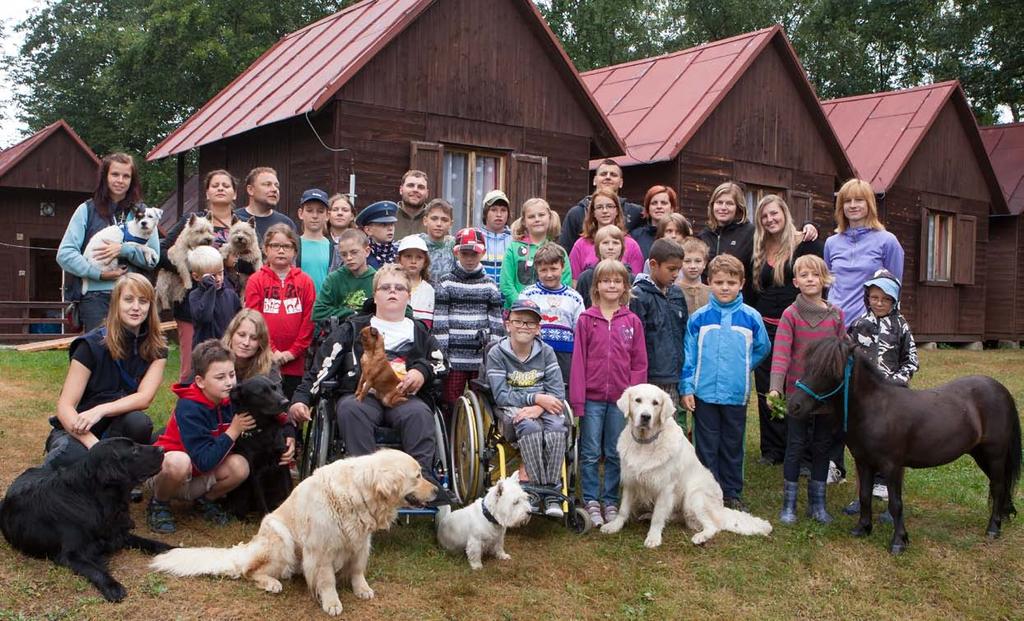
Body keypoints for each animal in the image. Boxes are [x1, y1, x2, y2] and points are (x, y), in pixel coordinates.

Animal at [0, 438, 172, 602]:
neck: (92, 498)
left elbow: (148, 542)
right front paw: (112, 586)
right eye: (134, 450)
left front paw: (170, 549)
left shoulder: (116, 533)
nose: (162, 448)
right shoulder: (69, 555)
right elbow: (94, 569)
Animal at [150, 452, 436, 618]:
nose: (437, 492)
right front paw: (331, 602)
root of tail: (246, 550)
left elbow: (357, 569)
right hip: (282, 541)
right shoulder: (321, 550)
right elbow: (327, 580)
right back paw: (271, 583)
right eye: (418, 476)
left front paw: (362, 589)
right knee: (249, 571)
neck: (358, 492)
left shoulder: (360, 542)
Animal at [221, 375, 292, 520]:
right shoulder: (255, 473)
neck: (263, 430)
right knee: (238, 512)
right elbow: (261, 503)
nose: (286, 402)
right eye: (261, 392)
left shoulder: (283, 463)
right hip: (242, 493)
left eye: (275, 388)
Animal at [598, 385, 770, 549]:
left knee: (713, 526)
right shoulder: (630, 480)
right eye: (637, 400)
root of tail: (721, 509)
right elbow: (623, 509)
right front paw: (614, 526)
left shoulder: (665, 487)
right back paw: (648, 516)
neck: (645, 443)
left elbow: (658, 516)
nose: (646, 417)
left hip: (694, 497)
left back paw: (700, 537)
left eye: (655, 403)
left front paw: (653, 537)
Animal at [786, 338, 1019, 557]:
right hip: (980, 454)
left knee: (998, 487)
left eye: (830, 371)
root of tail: (1000, 389)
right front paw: (863, 528)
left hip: (995, 454)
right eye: (808, 365)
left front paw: (899, 541)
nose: (794, 405)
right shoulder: (864, 462)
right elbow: (864, 495)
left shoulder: (892, 466)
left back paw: (993, 528)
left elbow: (896, 503)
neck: (876, 409)